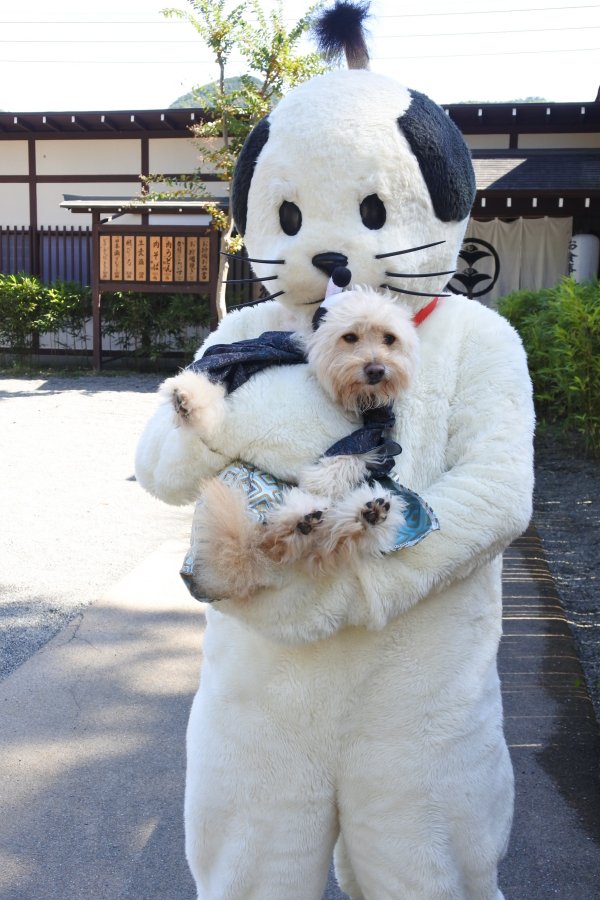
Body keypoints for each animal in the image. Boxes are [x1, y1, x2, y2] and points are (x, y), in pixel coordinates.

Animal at [162, 284, 420, 600]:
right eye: (350, 337)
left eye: (389, 339)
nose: (376, 369)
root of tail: (247, 552)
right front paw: (186, 399)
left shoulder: (375, 428)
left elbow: (352, 454)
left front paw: (321, 480)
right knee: (276, 539)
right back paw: (308, 523)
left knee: (315, 540)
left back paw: (361, 516)